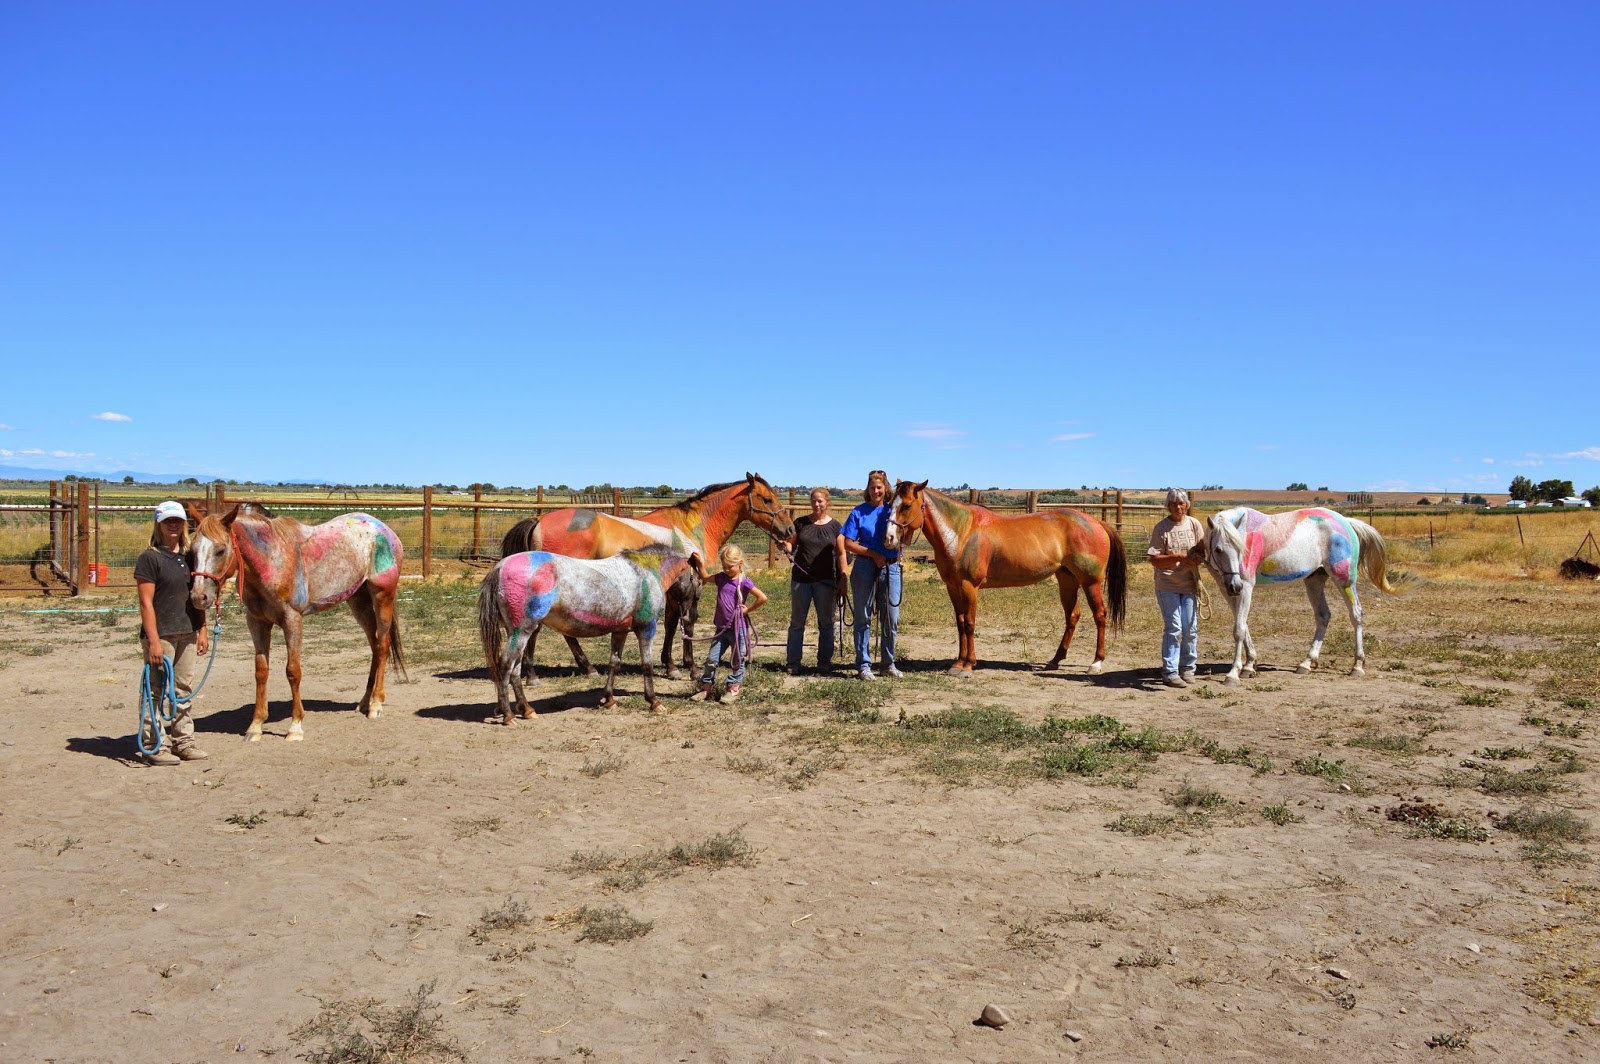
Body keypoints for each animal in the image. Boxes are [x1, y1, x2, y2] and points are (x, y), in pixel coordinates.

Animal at [190, 505, 406, 741]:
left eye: (220, 550)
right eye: (191, 550)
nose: (198, 597)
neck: (272, 560)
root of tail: (385, 529)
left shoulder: (292, 620)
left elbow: (293, 671)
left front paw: (295, 727)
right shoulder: (256, 622)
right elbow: (261, 671)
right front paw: (255, 727)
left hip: (382, 597)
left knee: (383, 646)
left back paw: (376, 704)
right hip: (358, 602)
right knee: (375, 646)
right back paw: (365, 702)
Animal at [477, 546, 693, 722]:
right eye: (693, 578)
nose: (688, 614)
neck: (647, 572)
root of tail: (499, 567)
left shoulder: (620, 631)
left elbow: (614, 663)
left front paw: (609, 700)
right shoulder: (647, 629)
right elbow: (647, 666)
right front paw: (654, 701)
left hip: (517, 633)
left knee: (515, 669)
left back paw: (526, 710)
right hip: (522, 631)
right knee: (506, 665)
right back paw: (508, 714)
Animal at [498, 474, 795, 679]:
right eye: (767, 499)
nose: (790, 529)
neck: (691, 527)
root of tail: (539, 520)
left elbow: (672, 623)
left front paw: (670, 664)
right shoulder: (690, 585)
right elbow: (687, 622)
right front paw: (688, 667)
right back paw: (542, 673)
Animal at [883, 480, 1127, 675]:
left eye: (906, 505)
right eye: (889, 504)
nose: (889, 538)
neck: (961, 532)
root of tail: (1097, 523)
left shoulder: (969, 587)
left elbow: (969, 624)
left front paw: (968, 665)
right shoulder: (953, 587)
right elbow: (960, 624)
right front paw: (958, 663)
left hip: (1090, 582)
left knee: (1100, 615)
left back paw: (1096, 663)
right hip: (1067, 580)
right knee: (1073, 616)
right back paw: (1055, 660)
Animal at [1202, 506, 1404, 686]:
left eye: (1241, 549)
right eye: (1218, 549)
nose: (1235, 585)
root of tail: (1346, 522)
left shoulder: (1246, 587)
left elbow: (1239, 630)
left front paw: (1233, 673)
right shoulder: (1227, 590)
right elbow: (1243, 626)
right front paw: (1249, 665)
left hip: (1344, 578)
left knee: (1356, 615)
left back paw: (1357, 665)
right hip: (1314, 580)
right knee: (1323, 616)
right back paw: (1307, 663)